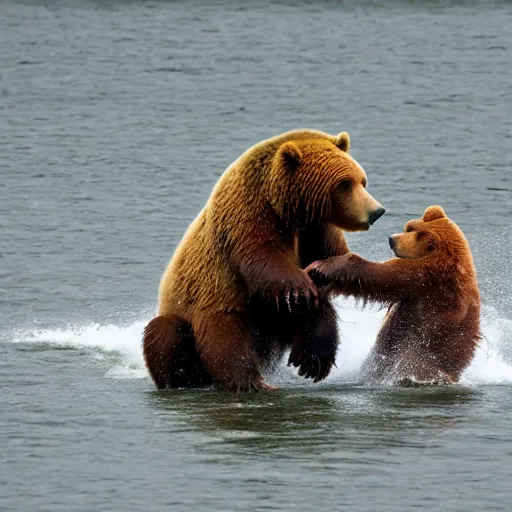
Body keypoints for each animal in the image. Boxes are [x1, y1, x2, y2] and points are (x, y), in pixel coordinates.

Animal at [143, 129, 384, 392]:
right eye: (344, 184)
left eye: (362, 180)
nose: (376, 211)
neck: (287, 209)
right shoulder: (246, 217)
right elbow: (265, 259)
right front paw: (300, 286)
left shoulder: (316, 230)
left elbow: (324, 273)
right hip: (201, 305)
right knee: (185, 332)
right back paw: (226, 380)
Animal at [308, 206, 480, 386]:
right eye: (408, 227)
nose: (392, 239)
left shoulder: (426, 278)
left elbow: (382, 276)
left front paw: (326, 267)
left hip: (422, 357)